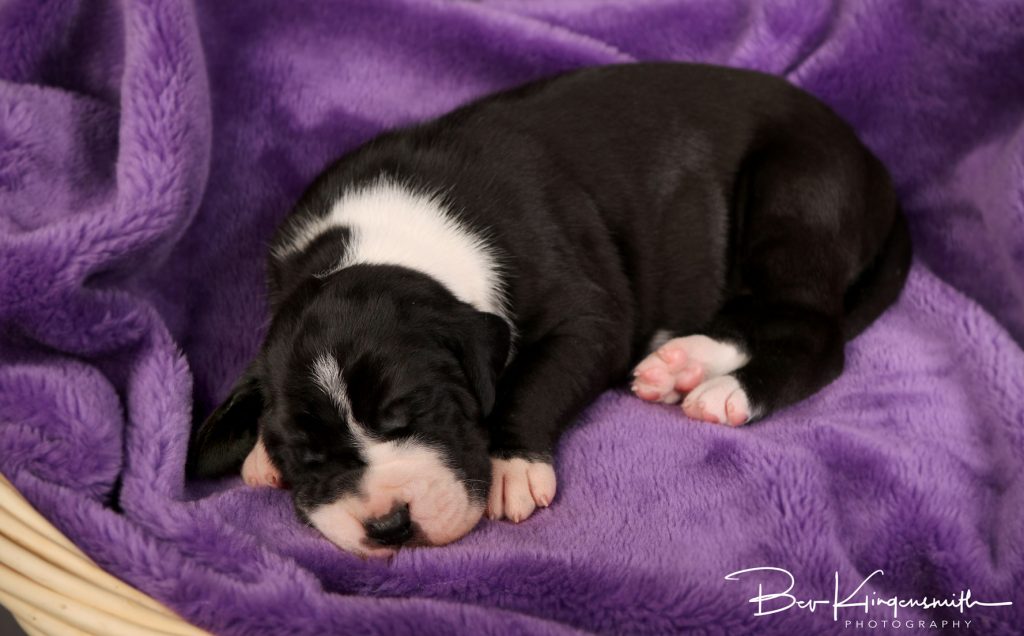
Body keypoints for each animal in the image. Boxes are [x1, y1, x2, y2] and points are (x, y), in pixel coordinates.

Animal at [186, 60, 913, 557]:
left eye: (416, 413)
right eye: (305, 453)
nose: (390, 525)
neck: (386, 241)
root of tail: (875, 166)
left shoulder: (587, 316)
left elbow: (533, 380)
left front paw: (513, 465)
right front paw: (258, 456)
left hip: (792, 193)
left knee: (809, 328)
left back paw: (724, 388)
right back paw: (682, 361)